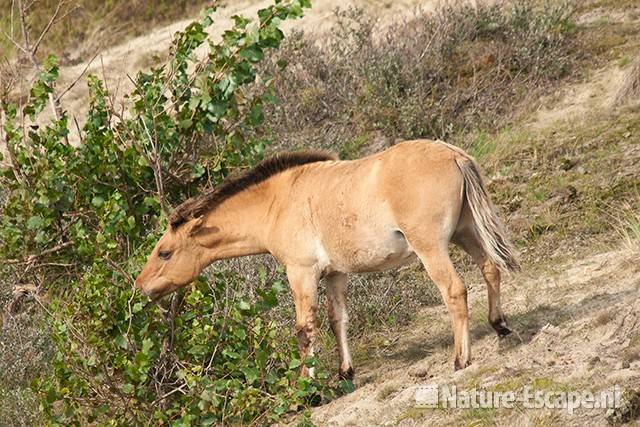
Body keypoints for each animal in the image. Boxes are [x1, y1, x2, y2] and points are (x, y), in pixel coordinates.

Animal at [135, 139, 520, 380]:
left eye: (164, 252)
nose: (140, 287)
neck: (278, 202)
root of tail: (454, 155)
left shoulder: (301, 273)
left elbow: (305, 330)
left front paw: (308, 391)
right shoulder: (336, 274)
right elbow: (339, 320)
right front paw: (344, 373)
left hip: (432, 248)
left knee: (455, 290)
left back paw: (460, 359)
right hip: (465, 234)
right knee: (491, 269)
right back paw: (500, 327)